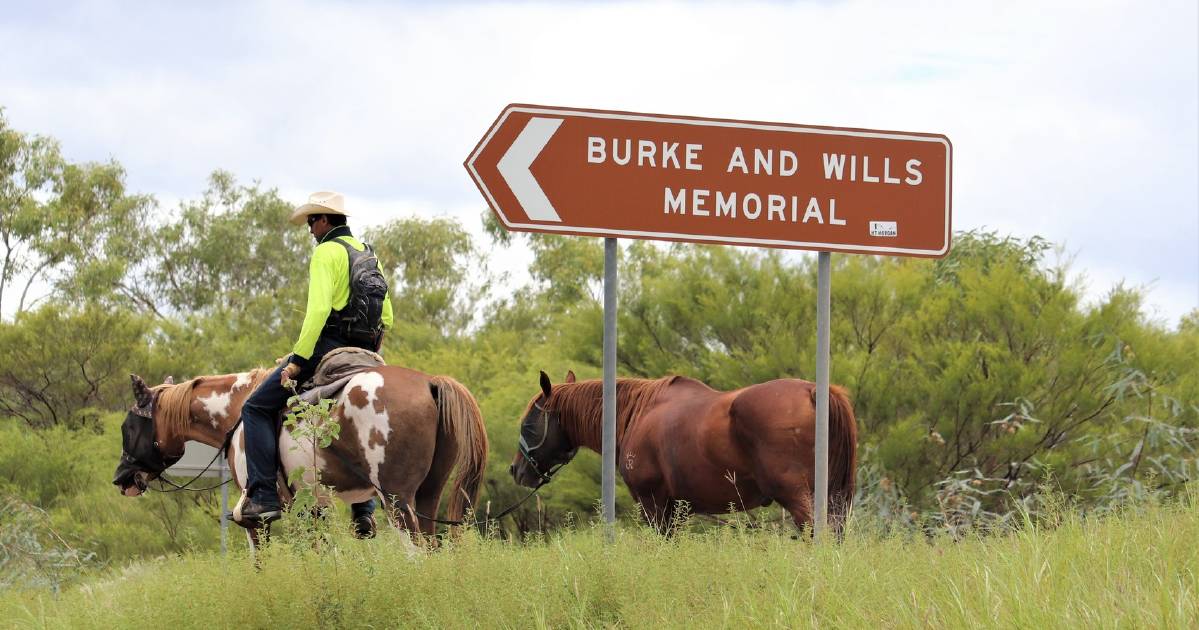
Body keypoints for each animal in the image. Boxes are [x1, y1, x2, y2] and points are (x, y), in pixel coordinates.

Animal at [111, 362, 486, 540]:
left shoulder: (255, 520)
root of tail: (429, 383)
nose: (121, 479)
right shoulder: (311, 510)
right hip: (427, 498)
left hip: (397, 502)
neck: (239, 410)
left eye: (128, 427)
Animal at [510, 372, 858, 532]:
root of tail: (812, 390)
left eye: (528, 424)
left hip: (799, 498)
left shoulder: (653, 505)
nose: (516, 470)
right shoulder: (677, 509)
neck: (638, 413)